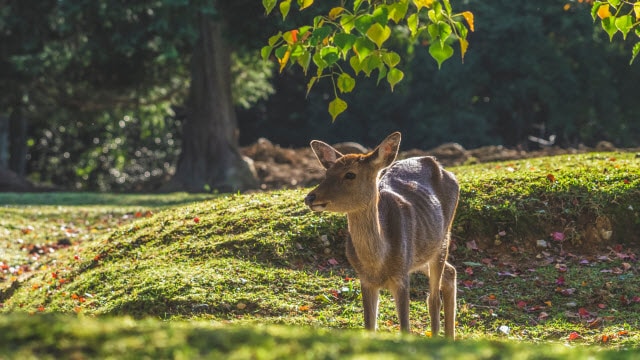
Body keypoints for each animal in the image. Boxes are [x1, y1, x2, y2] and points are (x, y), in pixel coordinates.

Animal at [302, 131, 458, 338]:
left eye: (350, 174)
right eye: (326, 173)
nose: (310, 197)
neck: (377, 263)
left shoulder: (401, 276)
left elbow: (405, 327)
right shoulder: (365, 279)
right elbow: (369, 325)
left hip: (443, 239)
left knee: (433, 299)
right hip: (422, 254)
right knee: (450, 272)